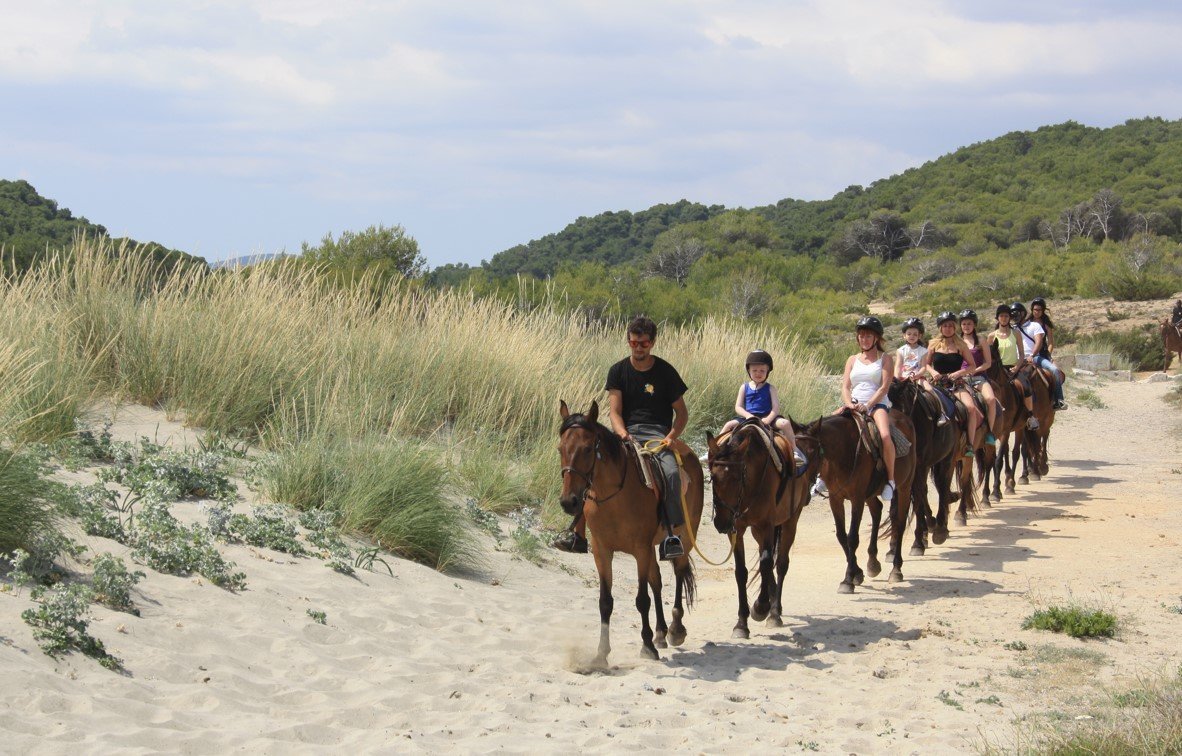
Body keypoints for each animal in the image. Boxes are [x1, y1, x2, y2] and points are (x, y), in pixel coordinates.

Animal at [558, 400, 703, 665]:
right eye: (560, 448)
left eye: (587, 449)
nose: (569, 502)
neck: (614, 496)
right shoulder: (602, 552)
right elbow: (606, 602)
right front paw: (601, 655)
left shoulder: (640, 550)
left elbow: (642, 600)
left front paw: (647, 647)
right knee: (657, 581)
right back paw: (660, 633)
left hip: (685, 536)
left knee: (678, 571)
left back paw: (675, 629)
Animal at [706, 420, 820, 639]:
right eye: (713, 477)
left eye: (738, 478)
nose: (721, 523)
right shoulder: (737, 529)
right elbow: (741, 571)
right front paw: (741, 624)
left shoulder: (767, 524)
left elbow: (767, 563)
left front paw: (760, 607)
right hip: (758, 531)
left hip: (789, 522)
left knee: (780, 563)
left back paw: (774, 612)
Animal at [803, 409, 917, 592]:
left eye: (812, 451)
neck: (843, 450)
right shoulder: (835, 498)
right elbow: (841, 536)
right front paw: (856, 573)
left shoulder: (857, 499)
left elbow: (852, 538)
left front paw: (848, 580)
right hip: (869, 494)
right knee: (877, 510)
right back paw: (873, 563)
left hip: (904, 487)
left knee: (899, 523)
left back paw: (896, 569)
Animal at [886, 379, 957, 554]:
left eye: (900, 409)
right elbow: (895, 507)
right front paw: (893, 546)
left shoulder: (920, 467)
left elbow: (918, 500)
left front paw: (918, 542)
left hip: (946, 459)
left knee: (943, 487)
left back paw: (940, 529)